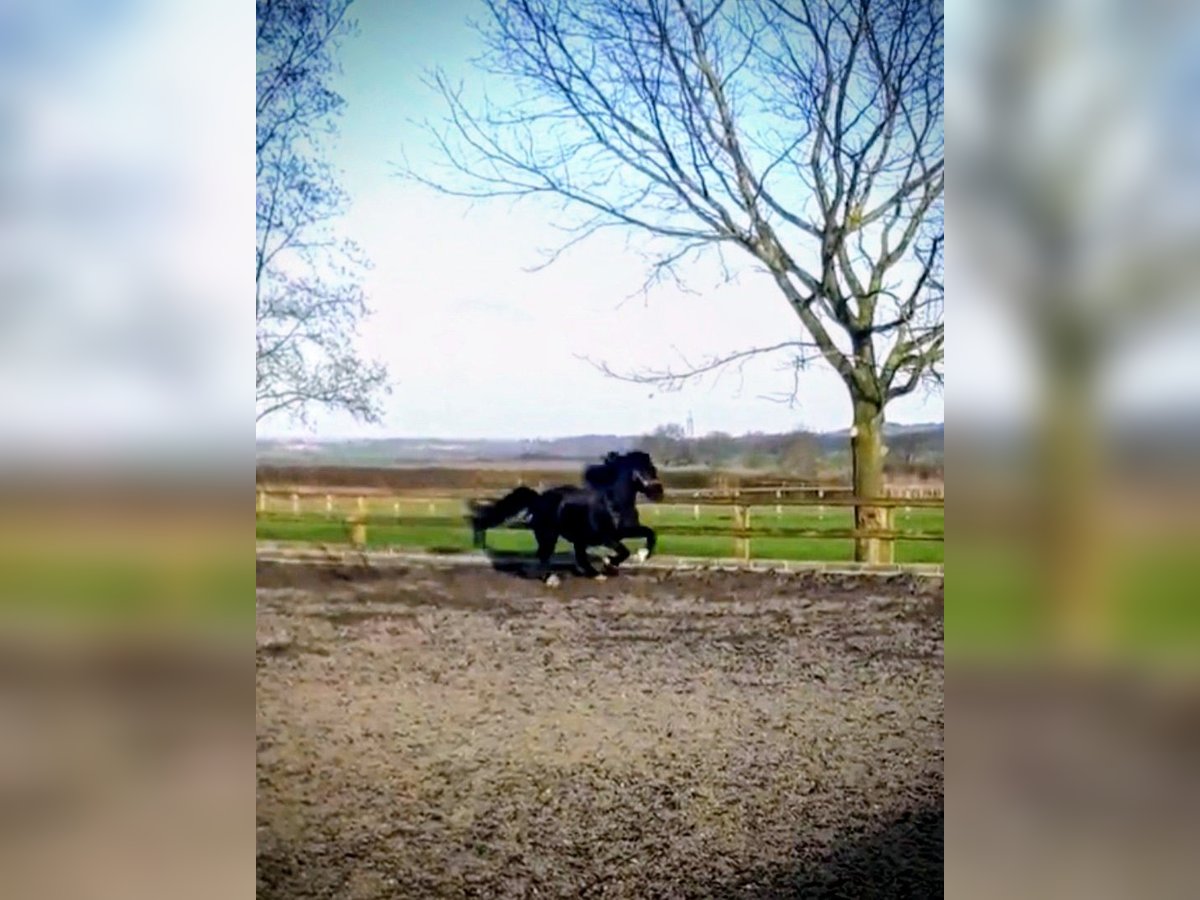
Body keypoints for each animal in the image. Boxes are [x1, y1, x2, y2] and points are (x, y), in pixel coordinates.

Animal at [467, 451, 664, 583]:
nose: (659, 493)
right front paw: (610, 562)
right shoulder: (607, 537)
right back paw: (551, 579)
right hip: (550, 534)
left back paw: (595, 575)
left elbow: (650, 534)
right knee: (545, 555)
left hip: (576, 538)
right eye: (649, 470)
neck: (615, 503)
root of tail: (539, 498)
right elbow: (624, 551)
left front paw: (640, 556)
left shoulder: (624, 532)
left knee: (578, 557)